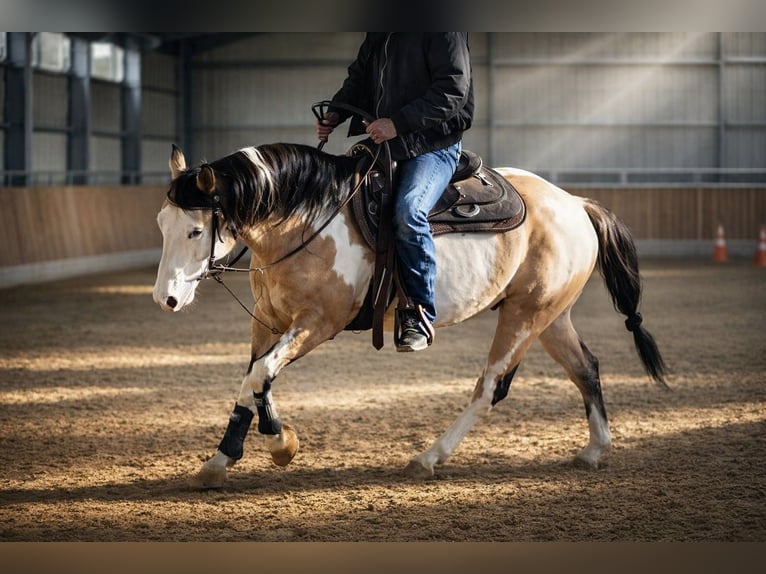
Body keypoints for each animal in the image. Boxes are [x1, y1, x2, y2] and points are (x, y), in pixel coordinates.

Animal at [152, 142, 667, 488]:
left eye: (196, 229)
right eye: (162, 223)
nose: (166, 299)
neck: (306, 219)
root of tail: (576, 204)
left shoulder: (318, 323)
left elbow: (260, 376)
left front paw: (281, 444)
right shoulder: (266, 320)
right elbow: (251, 381)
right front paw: (221, 460)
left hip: (525, 316)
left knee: (489, 389)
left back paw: (429, 457)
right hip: (550, 316)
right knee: (586, 368)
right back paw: (595, 450)